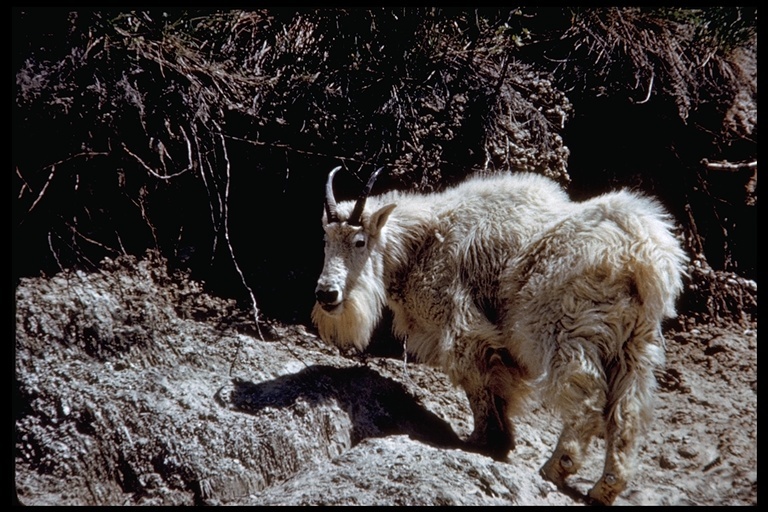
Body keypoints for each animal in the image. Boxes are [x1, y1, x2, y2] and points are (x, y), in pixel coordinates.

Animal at [312, 167, 688, 504]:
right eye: (326, 240)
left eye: (359, 241)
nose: (327, 294)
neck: (419, 246)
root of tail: (645, 258)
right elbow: (499, 387)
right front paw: (502, 439)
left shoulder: (461, 326)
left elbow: (477, 383)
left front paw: (482, 439)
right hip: (635, 344)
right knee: (628, 411)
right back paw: (605, 488)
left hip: (567, 329)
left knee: (585, 399)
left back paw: (556, 468)